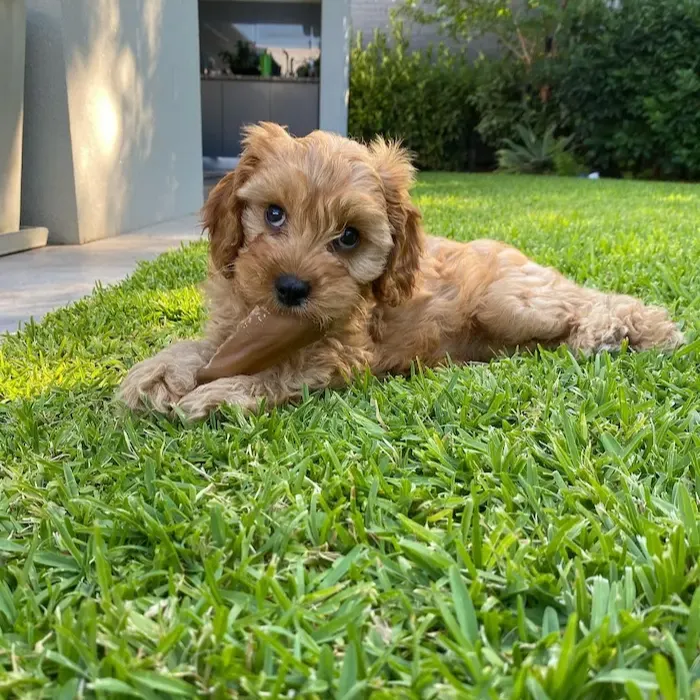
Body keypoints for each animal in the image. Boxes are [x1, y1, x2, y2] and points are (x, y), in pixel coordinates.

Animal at [119, 121, 684, 422]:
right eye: (273, 214)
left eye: (349, 237)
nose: (292, 289)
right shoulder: (236, 327)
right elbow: (202, 347)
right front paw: (158, 374)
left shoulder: (339, 353)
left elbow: (278, 372)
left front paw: (217, 394)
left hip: (508, 301)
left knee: (599, 300)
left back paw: (617, 333)